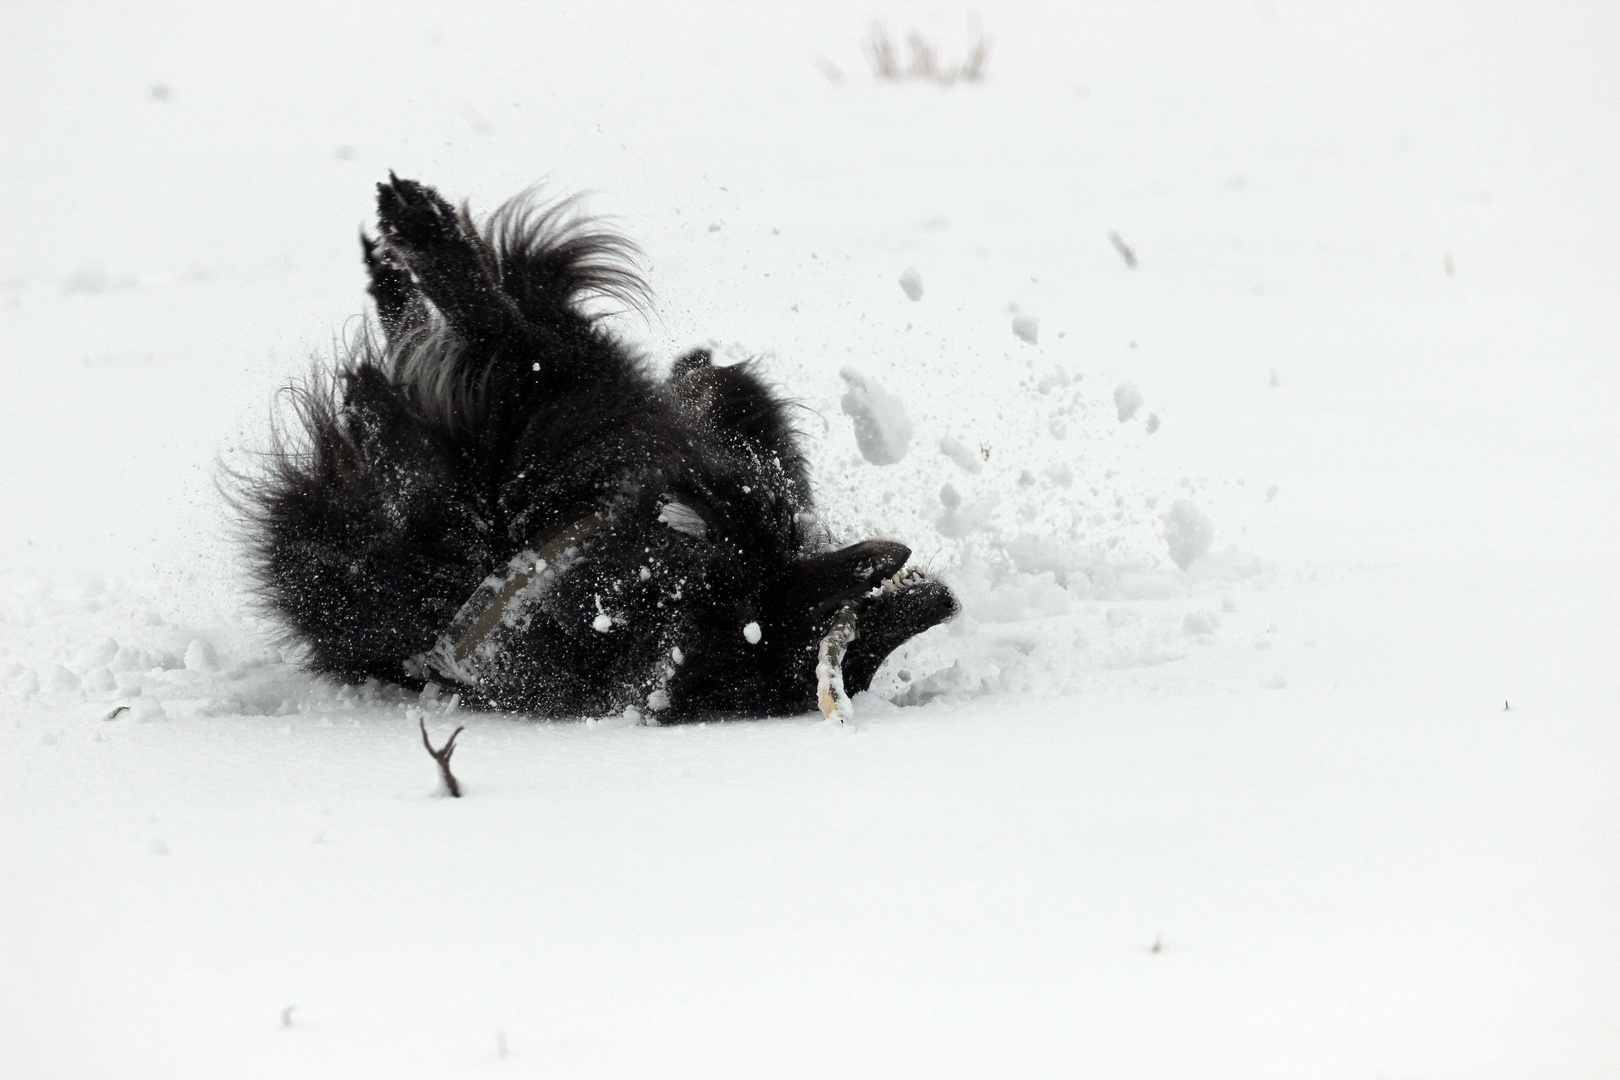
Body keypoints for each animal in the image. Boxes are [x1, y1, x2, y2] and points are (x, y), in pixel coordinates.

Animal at [234, 175, 952, 718]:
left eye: (856, 641)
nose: (941, 598)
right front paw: (393, 269)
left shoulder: (558, 390)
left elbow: (491, 322)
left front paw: (419, 234)